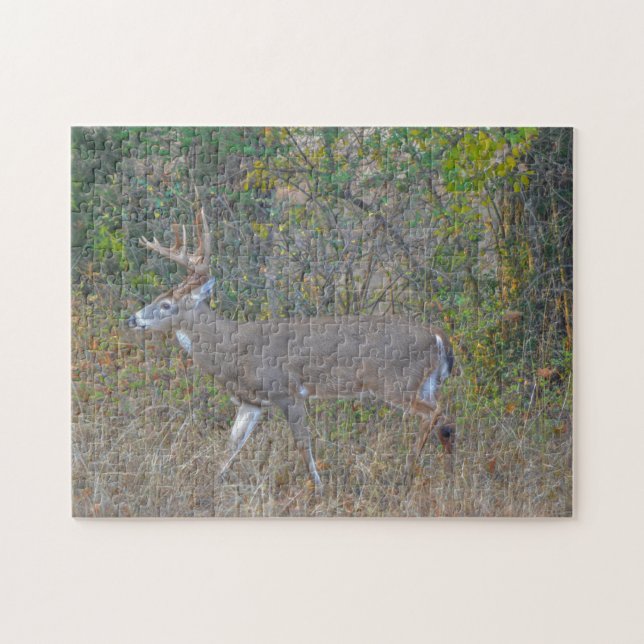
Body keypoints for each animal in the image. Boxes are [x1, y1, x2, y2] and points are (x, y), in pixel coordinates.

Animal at [127, 203, 455, 493]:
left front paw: (318, 488)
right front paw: (212, 483)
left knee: (434, 412)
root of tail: (438, 336)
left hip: (395, 381)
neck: (233, 350)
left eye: (165, 305)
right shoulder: (252, 401)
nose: (133, 318)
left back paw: (407, 473)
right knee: (443, 419)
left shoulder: (288, 390)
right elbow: (232, 444)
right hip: (425, 383)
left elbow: (302, 442)